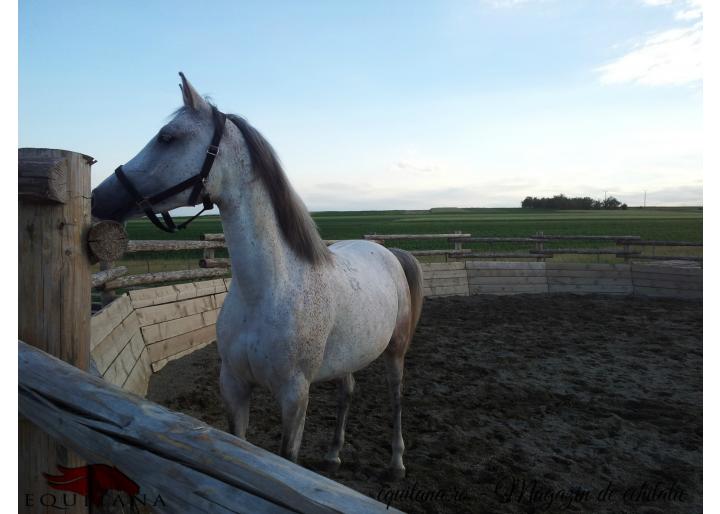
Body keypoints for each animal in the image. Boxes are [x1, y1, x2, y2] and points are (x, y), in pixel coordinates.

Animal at [93, 73, 424, 476]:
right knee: (347, 392)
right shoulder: (234, 386)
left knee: (395, 398)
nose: (98, 197)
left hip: (395, 352)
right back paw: (333, 454)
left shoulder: (294, 396)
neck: (269, 290)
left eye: (167, 137)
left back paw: (397, 462)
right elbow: (240, 443)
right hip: (348, 357)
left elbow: (287, 458)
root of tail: (387, 251)